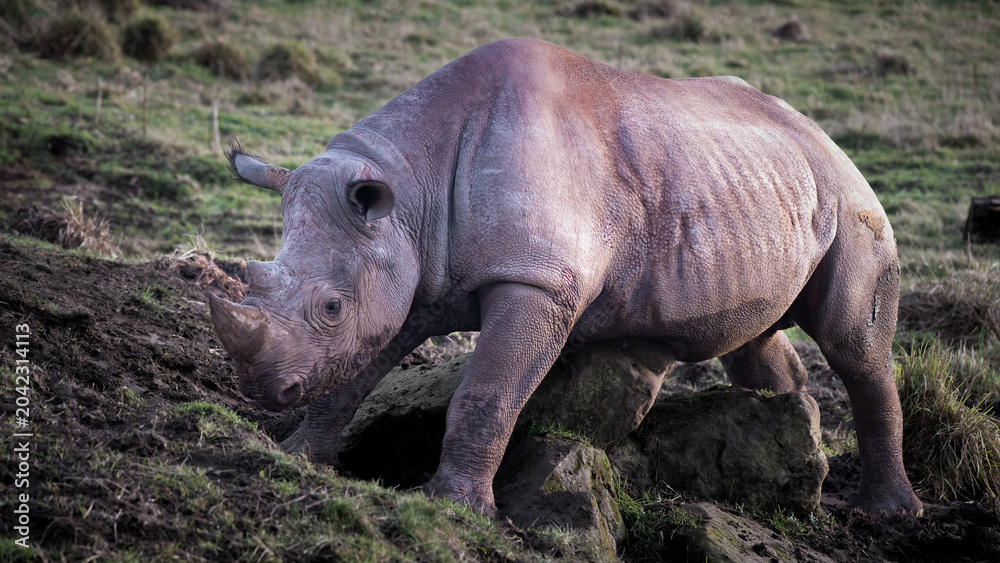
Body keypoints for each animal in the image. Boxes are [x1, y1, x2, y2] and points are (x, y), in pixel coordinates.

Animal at [209, 38, 921, 516]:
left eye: (331, 306)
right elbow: (353, 376)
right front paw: (297, 456)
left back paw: (886, 510)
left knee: (853, 345)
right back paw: (793, 447)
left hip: (851, 197)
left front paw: (456, 509)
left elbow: (489, 393)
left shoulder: (539, 281)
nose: (264, 390)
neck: (408, 187)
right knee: (752, 336)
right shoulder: (411, 273)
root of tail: (819, 131)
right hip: (749, 187)